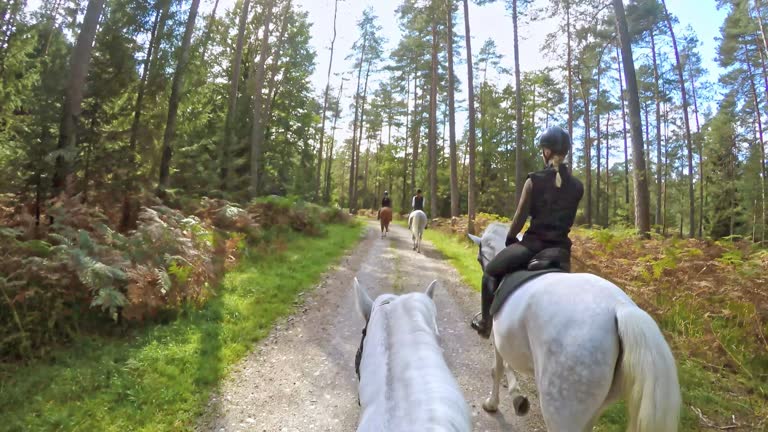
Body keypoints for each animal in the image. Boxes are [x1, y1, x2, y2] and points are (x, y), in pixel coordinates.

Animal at [468, 223, 680, 432]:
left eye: (479, 258)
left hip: (562, 404)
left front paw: (497, 403)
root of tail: (621, 308)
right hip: (592, 408)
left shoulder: (498, 340)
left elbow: (498, 369)